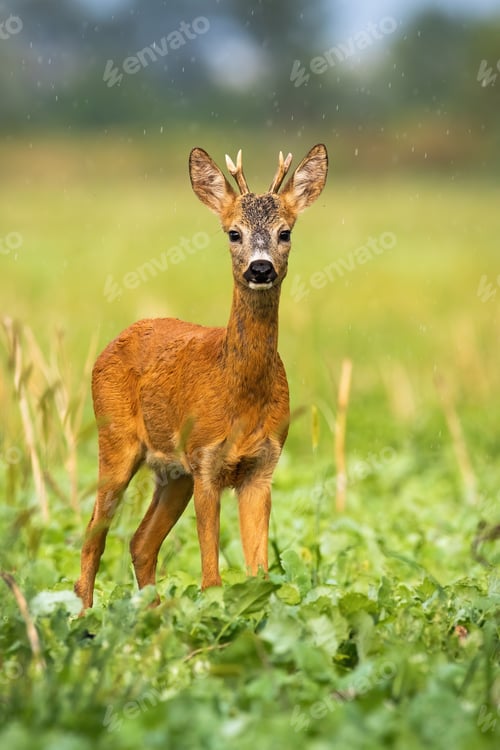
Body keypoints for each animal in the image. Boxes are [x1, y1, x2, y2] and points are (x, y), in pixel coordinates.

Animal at [74, 143, 328, 610]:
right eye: (233, 233)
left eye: (285, 232)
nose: (260, 269)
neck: (241, 398)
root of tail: (115, 340)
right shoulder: (205, 460)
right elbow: (211, 579)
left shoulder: (261, 466)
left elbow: (260, 572)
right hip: (116, 441)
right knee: (93, 534)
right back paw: (83, 616)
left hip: (173, 473)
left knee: (140, 541)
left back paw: (153, 615)